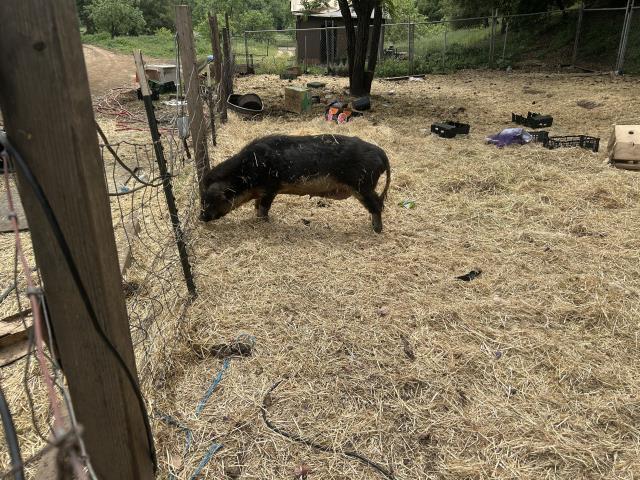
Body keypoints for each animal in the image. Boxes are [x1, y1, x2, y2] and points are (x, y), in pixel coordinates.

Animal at [199, 134, 391, 232]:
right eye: (201, 199)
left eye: (209, 200)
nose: (200, 218)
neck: (246, 172)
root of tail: (381, 152)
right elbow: (256, 205)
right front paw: (257, 219)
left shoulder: (271, 188)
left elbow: (264, 207)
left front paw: (264, 222)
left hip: (363, 186)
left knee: (377, 205)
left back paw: (376, 229)